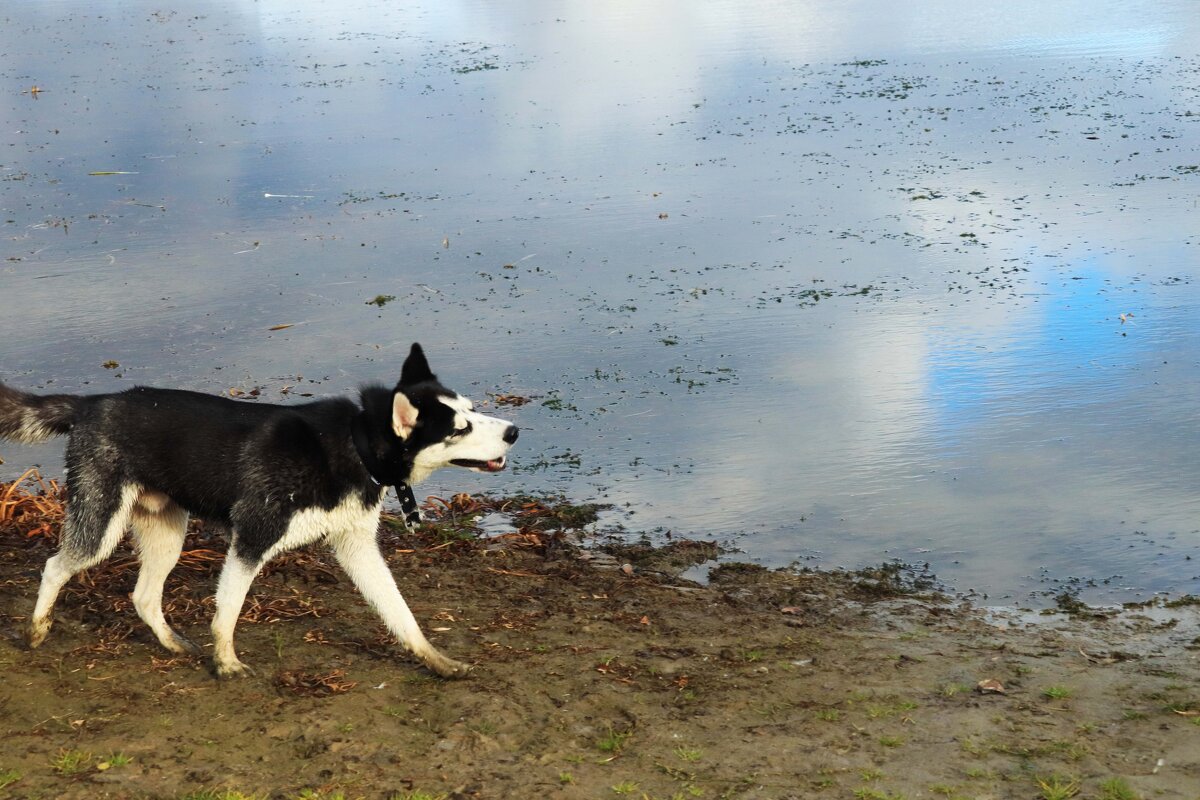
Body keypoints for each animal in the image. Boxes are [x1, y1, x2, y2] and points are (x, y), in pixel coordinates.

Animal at [0, 347, 516, 681]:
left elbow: (401, 613)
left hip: (168, 534)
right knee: (55, 566)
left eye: (472, 410)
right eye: (460, 428)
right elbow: (228, 611)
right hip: (100, 525)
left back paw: (172, 644)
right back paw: (36, 630)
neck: (354, 444)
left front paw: (435, 660)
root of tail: (92, 403)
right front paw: (225, 662)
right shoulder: (252, 538)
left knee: (143, 596)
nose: (513, 431)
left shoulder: (357, 549)